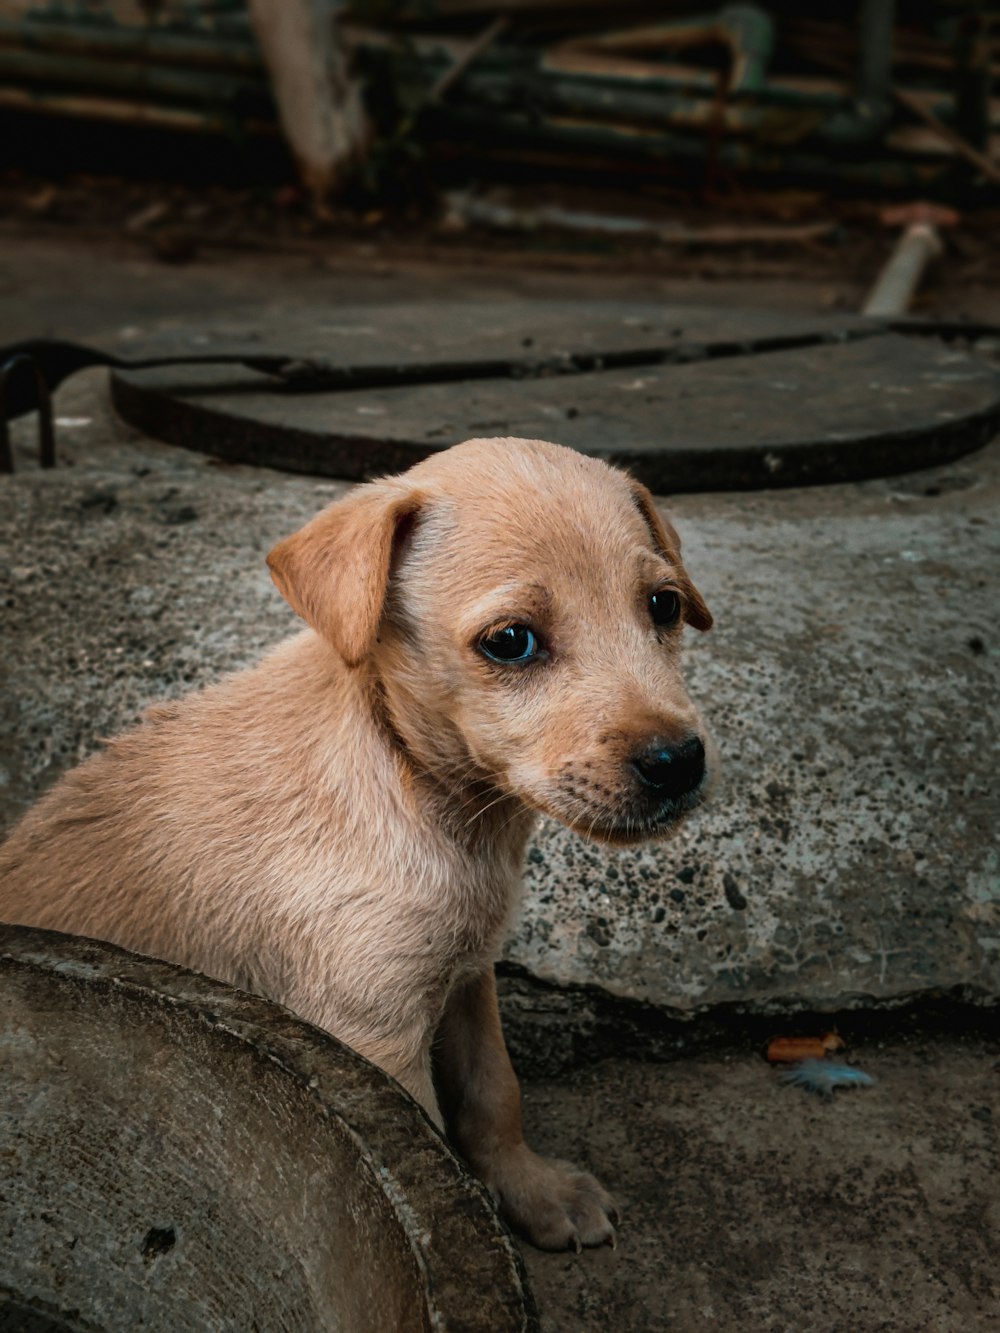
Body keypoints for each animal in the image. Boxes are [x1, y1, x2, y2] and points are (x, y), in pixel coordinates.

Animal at [0, 437, 714, 1247]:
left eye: (662, 605)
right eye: (511, 641)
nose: (677, 761)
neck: (415, 776)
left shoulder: (466, 973)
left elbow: (494, 1090)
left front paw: (535, 1191)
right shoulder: (373, 1034)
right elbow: (442, 1137)